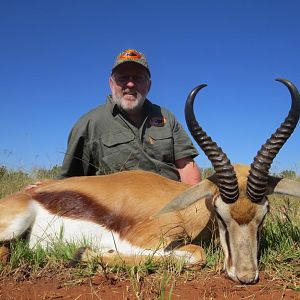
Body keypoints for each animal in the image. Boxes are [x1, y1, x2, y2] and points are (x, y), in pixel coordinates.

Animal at [0, 78, 300, 284]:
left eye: (264, 214)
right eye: (220, 214)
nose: (246, 275)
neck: (183, 209)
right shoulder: (143, 240)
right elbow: (195, 254)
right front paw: (84, 253)